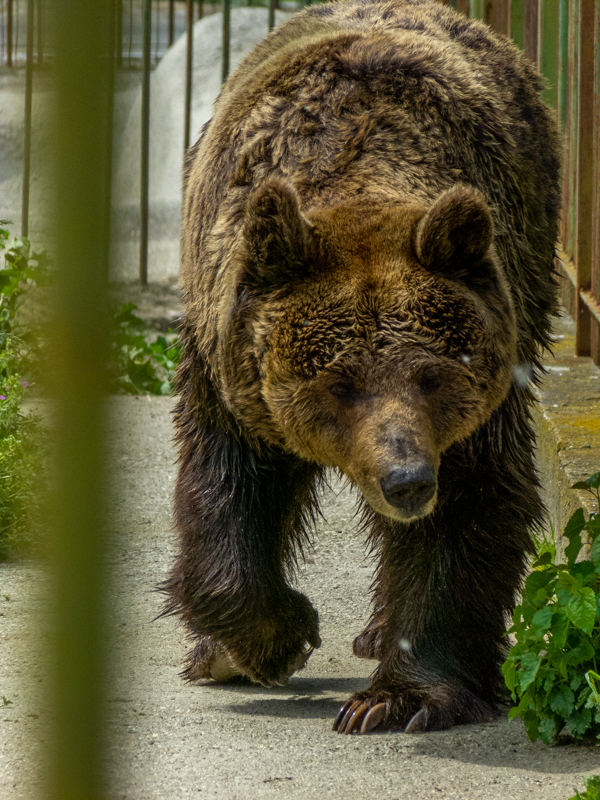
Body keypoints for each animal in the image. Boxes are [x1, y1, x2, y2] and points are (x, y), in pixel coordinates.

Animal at [163, 0, 561, 734]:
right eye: (338, 384)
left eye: (434, 375)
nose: (406, 478)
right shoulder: (229, 360)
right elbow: (225, 485)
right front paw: (272, 638)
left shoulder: (481, 390)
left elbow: (468, 502)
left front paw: (398, 697)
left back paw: (378, 630)